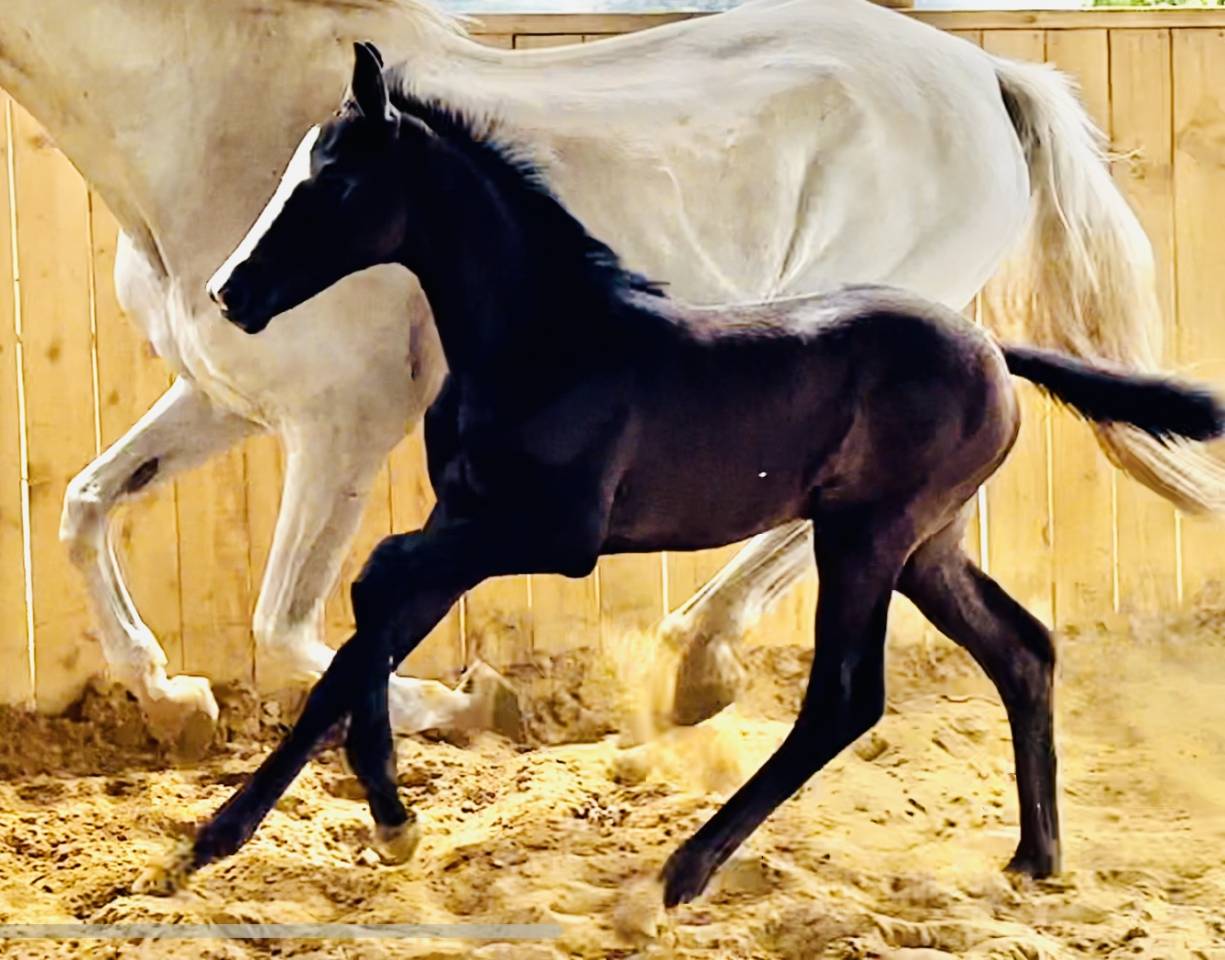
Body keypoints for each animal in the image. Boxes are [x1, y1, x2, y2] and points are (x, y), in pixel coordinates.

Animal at [3, 0, 1218, 747]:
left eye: (330, 186)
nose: (236, 290)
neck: (211, 125)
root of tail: (988, 73)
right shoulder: (224, 399)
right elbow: (84, 506)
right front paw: (172, 700)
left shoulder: (341, 421)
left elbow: (287, 625)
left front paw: (476, 702)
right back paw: (695, 663)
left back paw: (693, 662)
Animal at [141, 44, 1225, 905]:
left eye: (334, 182)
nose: (231, 293)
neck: (543, 343)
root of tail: (994, 351)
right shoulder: (465, 522)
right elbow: (365, 631)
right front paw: (297, 829)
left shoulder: (547, 533)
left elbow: (370, 598)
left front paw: (338, 817)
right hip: (929, 543)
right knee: (1021, 649)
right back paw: (1035, 859)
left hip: (866, 535)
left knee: (846, 697)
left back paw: (686, 869)